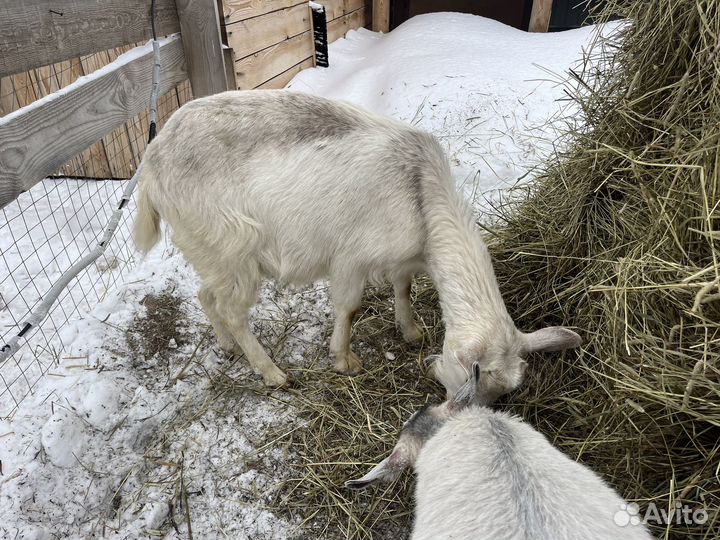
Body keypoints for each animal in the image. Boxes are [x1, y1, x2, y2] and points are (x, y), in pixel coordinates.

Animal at [133, 90, 581, 393]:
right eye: (473, 380)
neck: (420, 189)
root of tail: (152, 160)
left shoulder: (401, 258)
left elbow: (404, 287)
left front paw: (411, 331)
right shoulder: (350, 257)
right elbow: (349, 307)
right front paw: (344, 360)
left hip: (209, 252)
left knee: (206, 297)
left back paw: (227, 347)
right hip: (230, 245)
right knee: (232, 310)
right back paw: (272, 372)